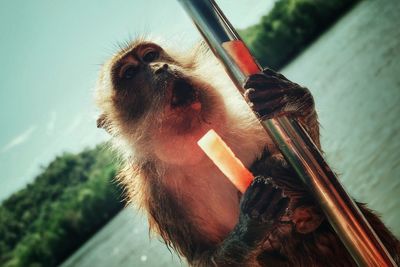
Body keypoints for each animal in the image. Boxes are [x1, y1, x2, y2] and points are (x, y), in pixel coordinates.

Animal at [94, 38, 400, 267]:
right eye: (130, 74)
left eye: (150, 55)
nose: (160, 67)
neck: (197, 135)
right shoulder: (157, 195)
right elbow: (202, 257)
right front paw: (249, 227)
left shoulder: (249, 112)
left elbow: (319, 170)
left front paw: (293, 98)